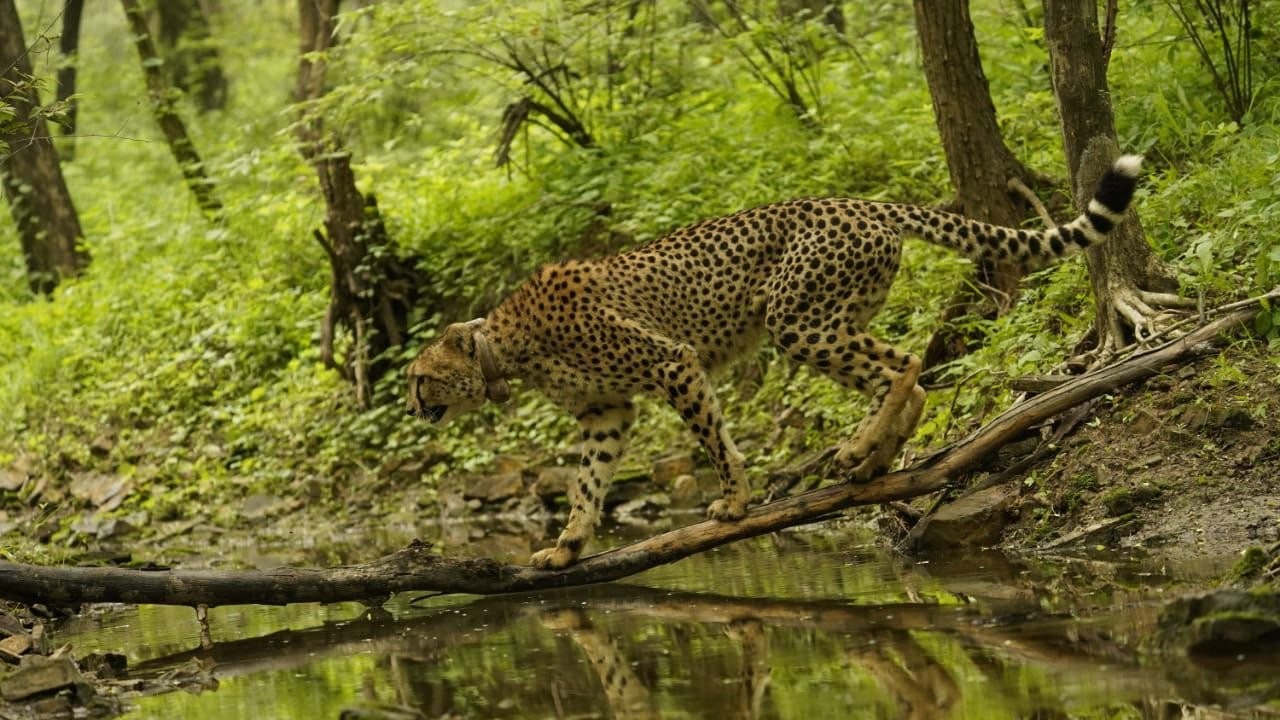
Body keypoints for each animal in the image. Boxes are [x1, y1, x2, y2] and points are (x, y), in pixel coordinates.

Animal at [406, 155, 1143, 570]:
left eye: (420, 377)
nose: (413, 404)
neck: (504, 347)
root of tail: (859, 201)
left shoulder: (672, 363)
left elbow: (713, 439)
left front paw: (734, 502)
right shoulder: (606, 411)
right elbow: (587, 482)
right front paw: (569, 545)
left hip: (797, 320)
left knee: (903, 362)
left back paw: (857, 451)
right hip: (830, 315)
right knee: (906, 376)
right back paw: (873, 461)